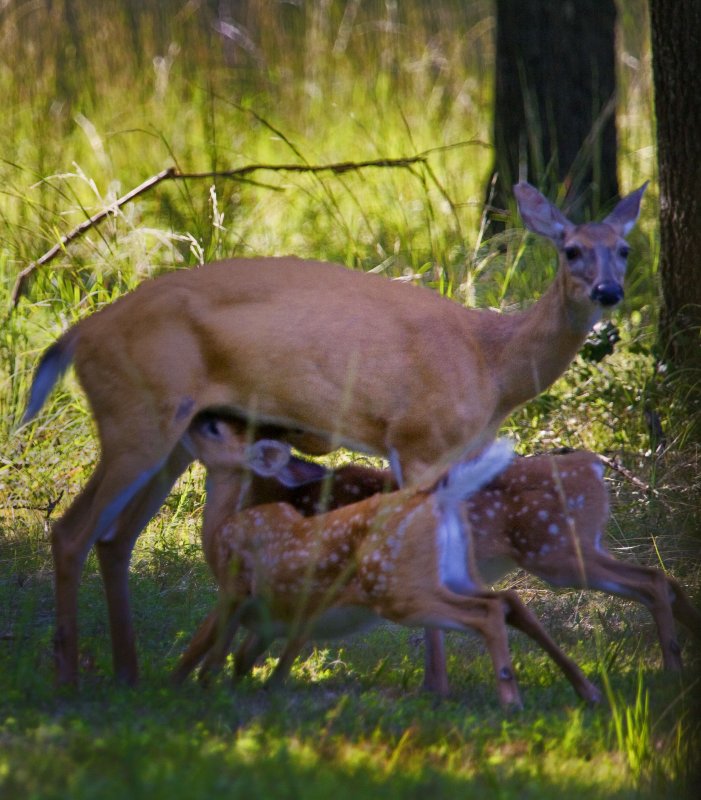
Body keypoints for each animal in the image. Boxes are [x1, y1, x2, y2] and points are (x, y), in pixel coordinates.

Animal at [172, 416, 600, 708]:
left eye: (213, 428)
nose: (191, 417)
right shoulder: (274, 616)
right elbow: (245, 658)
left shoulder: (237, 589)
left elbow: (203, 649)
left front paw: (178, 689)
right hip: (451, 575)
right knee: (507, 601)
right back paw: (584, 689)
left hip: (400, 590)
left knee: (488, 611)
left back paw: (511, 699)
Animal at [191, 432, 696, 680]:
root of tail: (593, 466)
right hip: (580, 549)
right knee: (663, 578)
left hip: (556, 554)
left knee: (652, 580)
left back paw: (671, 667)